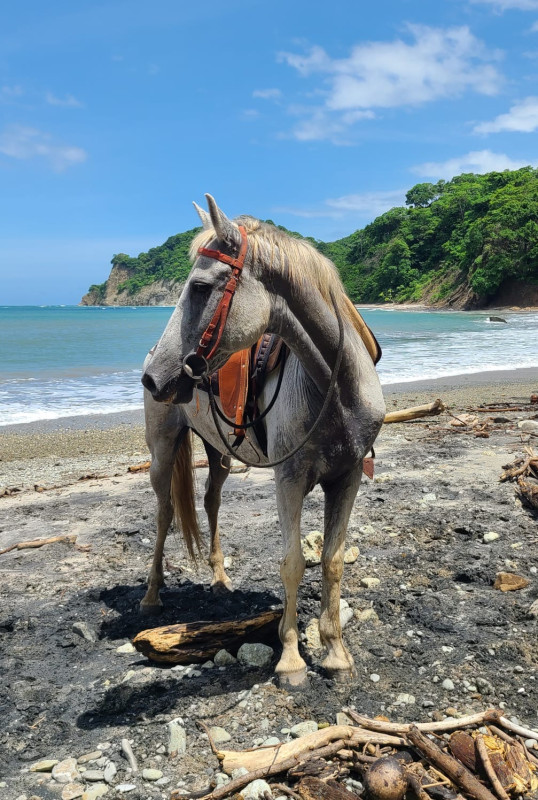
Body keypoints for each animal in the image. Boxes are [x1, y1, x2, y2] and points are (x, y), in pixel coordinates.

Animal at [140, 191, 384, 684]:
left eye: (200, 287)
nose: (154, 378)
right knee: (164, 512)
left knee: (211, 500)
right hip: (162, 450)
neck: (336, 387)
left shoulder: (347, 478)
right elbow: (292, 563)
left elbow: (331, 561)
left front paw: (335, 651)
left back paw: (219, 580)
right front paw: (290, 658)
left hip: (218, 452)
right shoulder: (289, 478)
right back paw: (152, 595)